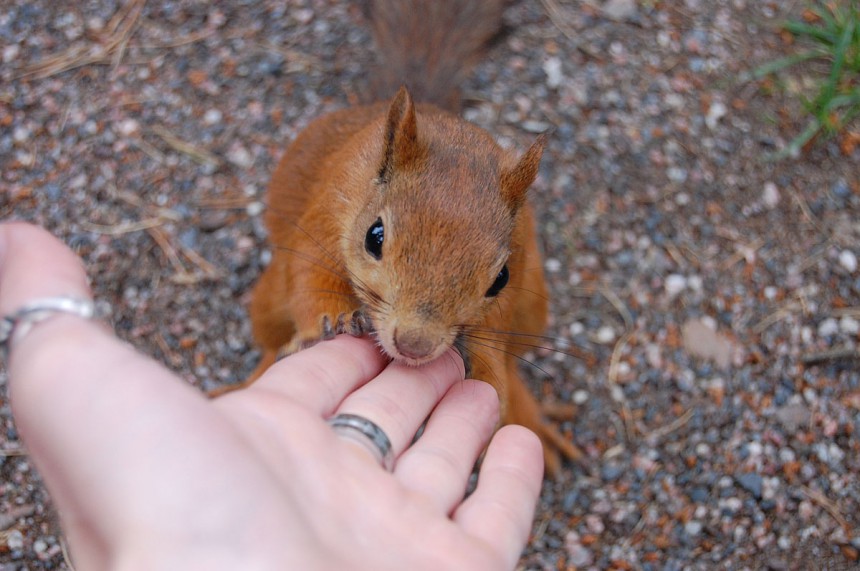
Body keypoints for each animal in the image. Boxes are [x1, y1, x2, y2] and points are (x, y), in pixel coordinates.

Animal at [218, 0, 588, 478]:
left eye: (501, 278)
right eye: (374, 237)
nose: (415, 344)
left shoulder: (517, 274)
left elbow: (495, 342)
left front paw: (489, 379)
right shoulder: (324, 217)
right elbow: (310, 277)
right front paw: (333, 320)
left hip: (534, 307)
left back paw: (531, 419)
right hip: (266, 301)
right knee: (268, 336)